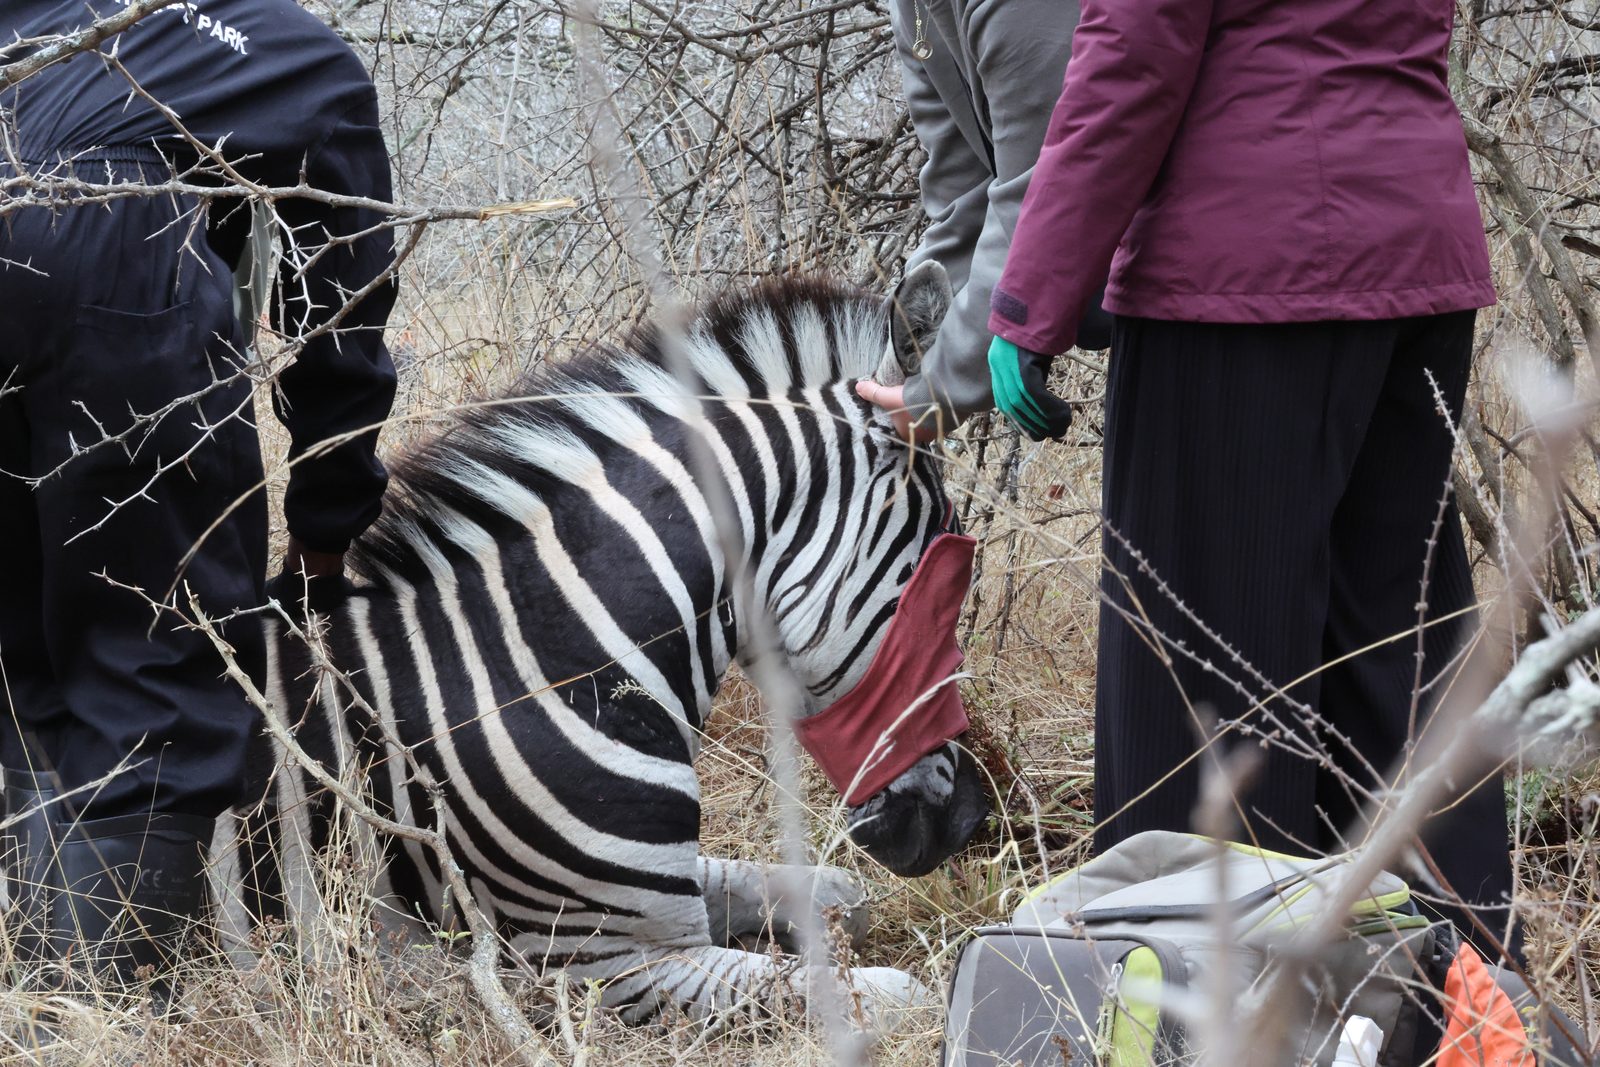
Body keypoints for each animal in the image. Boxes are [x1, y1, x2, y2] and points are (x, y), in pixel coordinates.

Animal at [216, 262, 990, 1023]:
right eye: (945, 577)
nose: (970, 817)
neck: (545, 661)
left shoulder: (660, 896)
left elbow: (839, 893)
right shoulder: (608, 960)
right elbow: (891, 997)